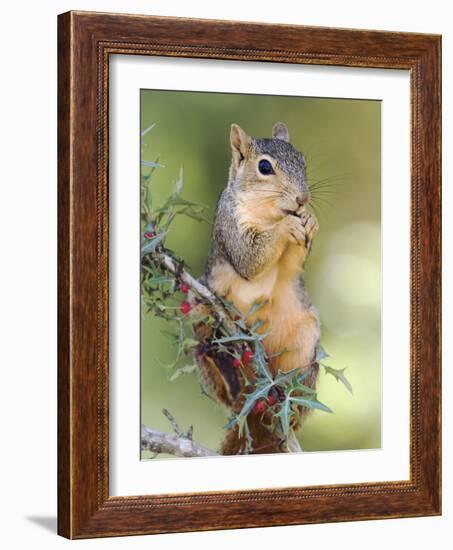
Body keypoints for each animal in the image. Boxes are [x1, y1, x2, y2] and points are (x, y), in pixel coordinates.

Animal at [192, 123, 320, 454]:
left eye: (303, 161)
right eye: (264, 167)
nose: (302, 198)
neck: (270, 213)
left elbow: (292, 266)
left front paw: (310, 221)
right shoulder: (230, 226)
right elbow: (250, 259)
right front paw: (286, 228)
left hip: (305, 341)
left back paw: (287, 404)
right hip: (199, 309)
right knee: (227, 390)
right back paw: (226, 370)